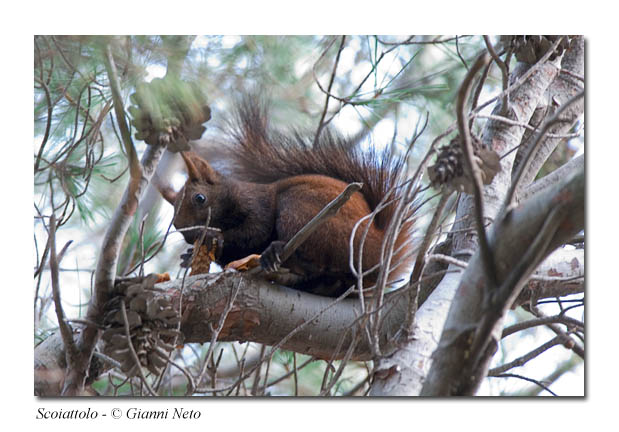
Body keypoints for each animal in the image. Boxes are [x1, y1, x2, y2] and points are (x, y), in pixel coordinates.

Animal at [163, 97, 416, 296]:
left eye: (199, 199)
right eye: (174, 223)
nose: (190, 237)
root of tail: (378, 248)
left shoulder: (257, 204)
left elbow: (255, 231)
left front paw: (213, 238)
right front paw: (189, 257)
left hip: (303, 210)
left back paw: (276, 251)